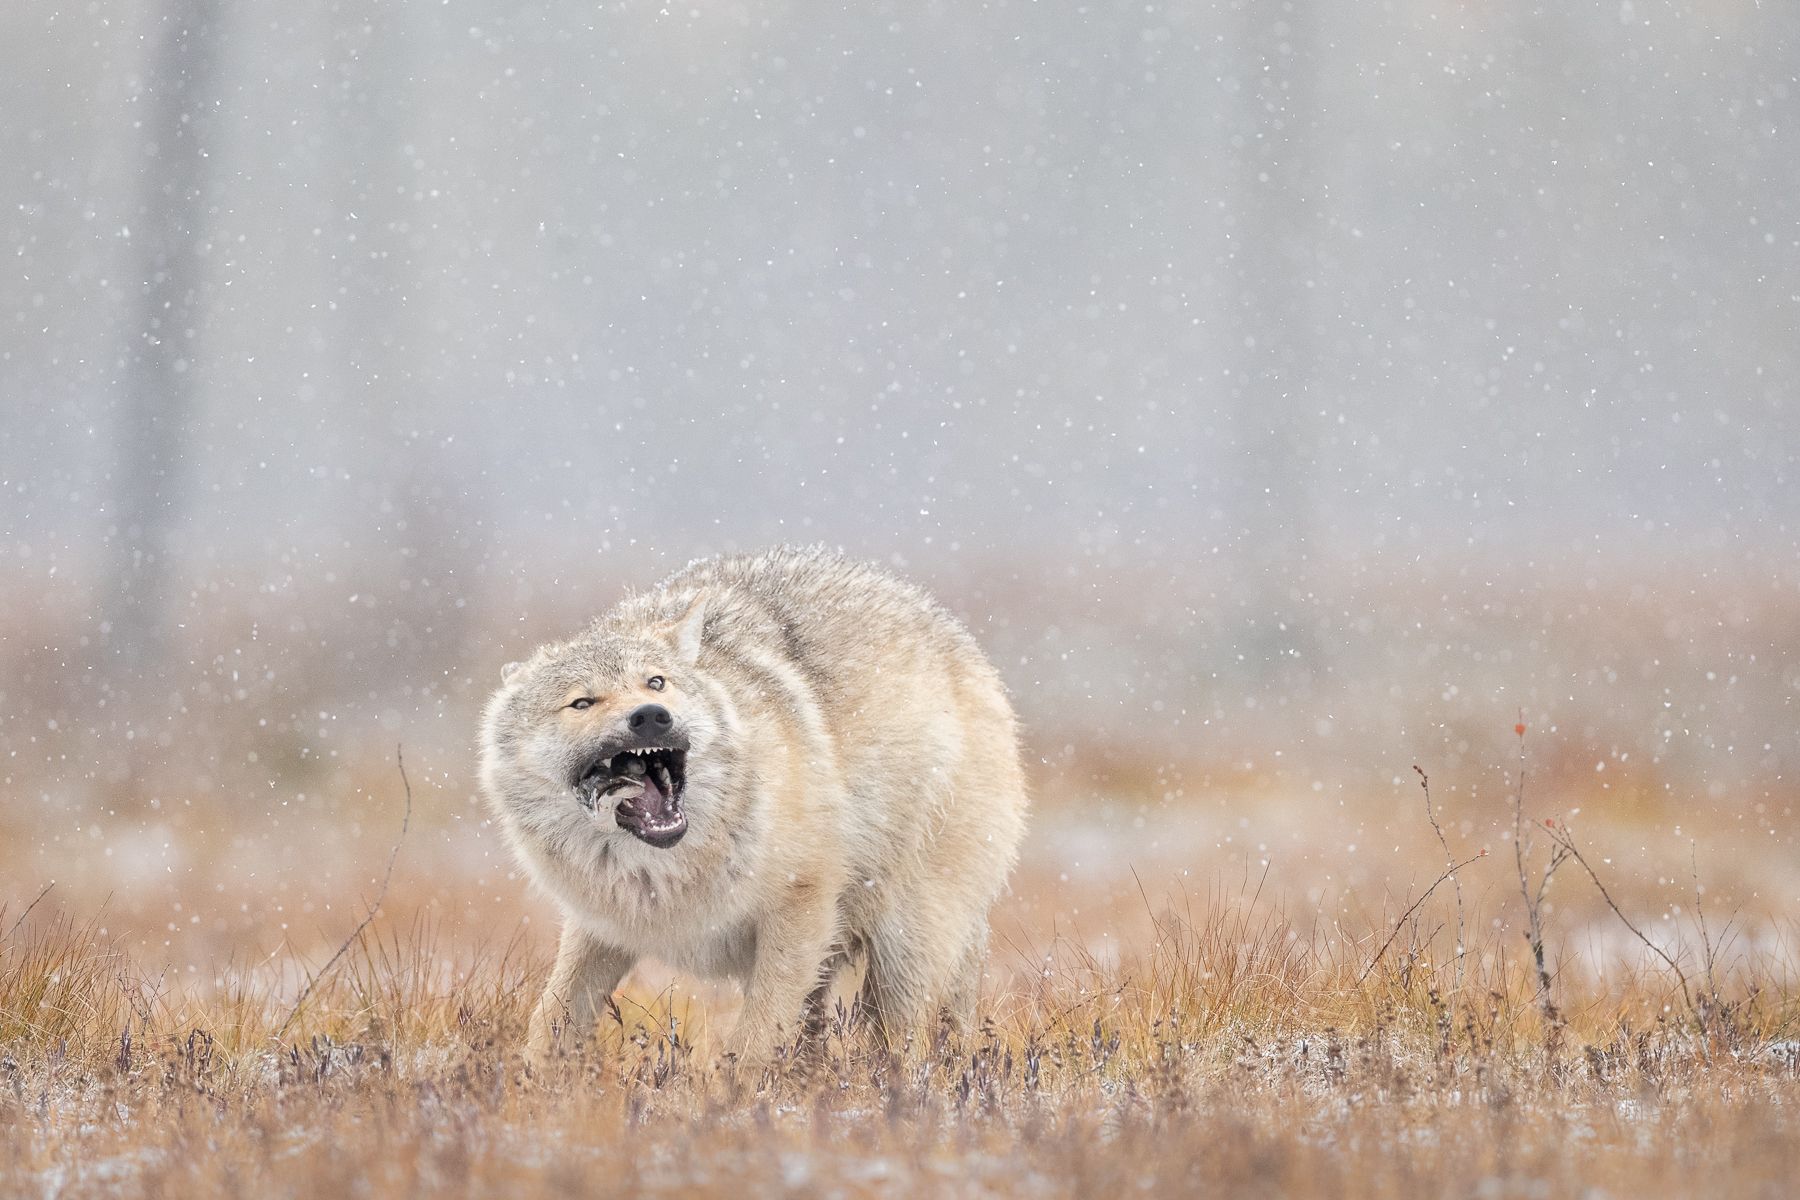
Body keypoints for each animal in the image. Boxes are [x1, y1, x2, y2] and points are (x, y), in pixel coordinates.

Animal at [479, 546, 1028, 1066]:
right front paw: (533, 1084)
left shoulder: (801, 906)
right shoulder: (601, 927)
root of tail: (951, 630)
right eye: (582, 703)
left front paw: (732, 1099)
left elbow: (754, 1041)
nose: (651, 716)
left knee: (907, 1042)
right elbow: (550, 1019)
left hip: (906, 942)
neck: (666, 876)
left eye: (656, 682)